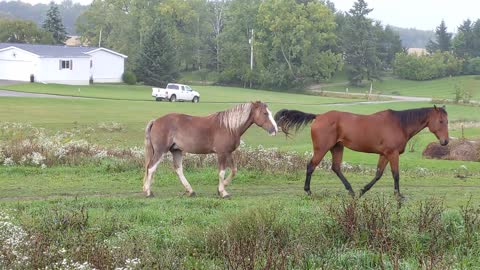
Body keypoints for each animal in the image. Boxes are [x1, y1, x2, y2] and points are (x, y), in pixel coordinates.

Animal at [142, 101, 278, 198]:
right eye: (265, 113)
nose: (275, 130)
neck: (229, 127)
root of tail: (156, 121)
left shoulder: (228, 153)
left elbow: (234, 170)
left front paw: (221, 188)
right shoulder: (222, 153)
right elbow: (222, 172)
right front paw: (223, 192)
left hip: (176, 150)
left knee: (178, 169)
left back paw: (190, 191)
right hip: (160, 151)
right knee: (151, 168)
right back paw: (148, 192)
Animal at [274, 106, 450, 198]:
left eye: (447, 121)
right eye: (441, 121)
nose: (445, 141)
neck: (400, 124)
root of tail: (319, 116)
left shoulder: (384, 154)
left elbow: (378, 174)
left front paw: (363, 190)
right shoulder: (392, 154)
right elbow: (396, 175)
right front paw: (398, 195)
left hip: (337, 147)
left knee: (336, 168)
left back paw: (351, 191)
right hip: (322, 148)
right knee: (311, 166)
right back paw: (308, 191)